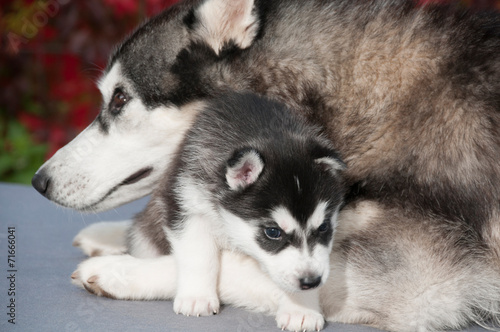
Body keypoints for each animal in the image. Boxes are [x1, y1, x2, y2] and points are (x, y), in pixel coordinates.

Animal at [32, 0, 500, 330]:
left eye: (120, 98)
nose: (39, 182)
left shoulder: (420, 284)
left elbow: (231, 261)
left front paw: (121, 269)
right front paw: (115, 238)